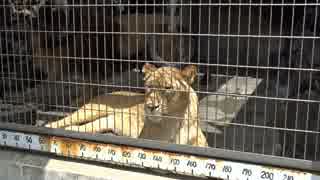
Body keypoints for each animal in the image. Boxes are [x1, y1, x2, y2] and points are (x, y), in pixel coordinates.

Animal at [45, 64, 210, 147]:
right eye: (149, 86)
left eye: (167, 88)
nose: (150, 106)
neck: (173, 121)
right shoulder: (146, 139)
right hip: (90, 111)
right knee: (62, 121)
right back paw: (48, 128)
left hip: (103, 122)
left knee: (82, 127)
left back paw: (71, 131)